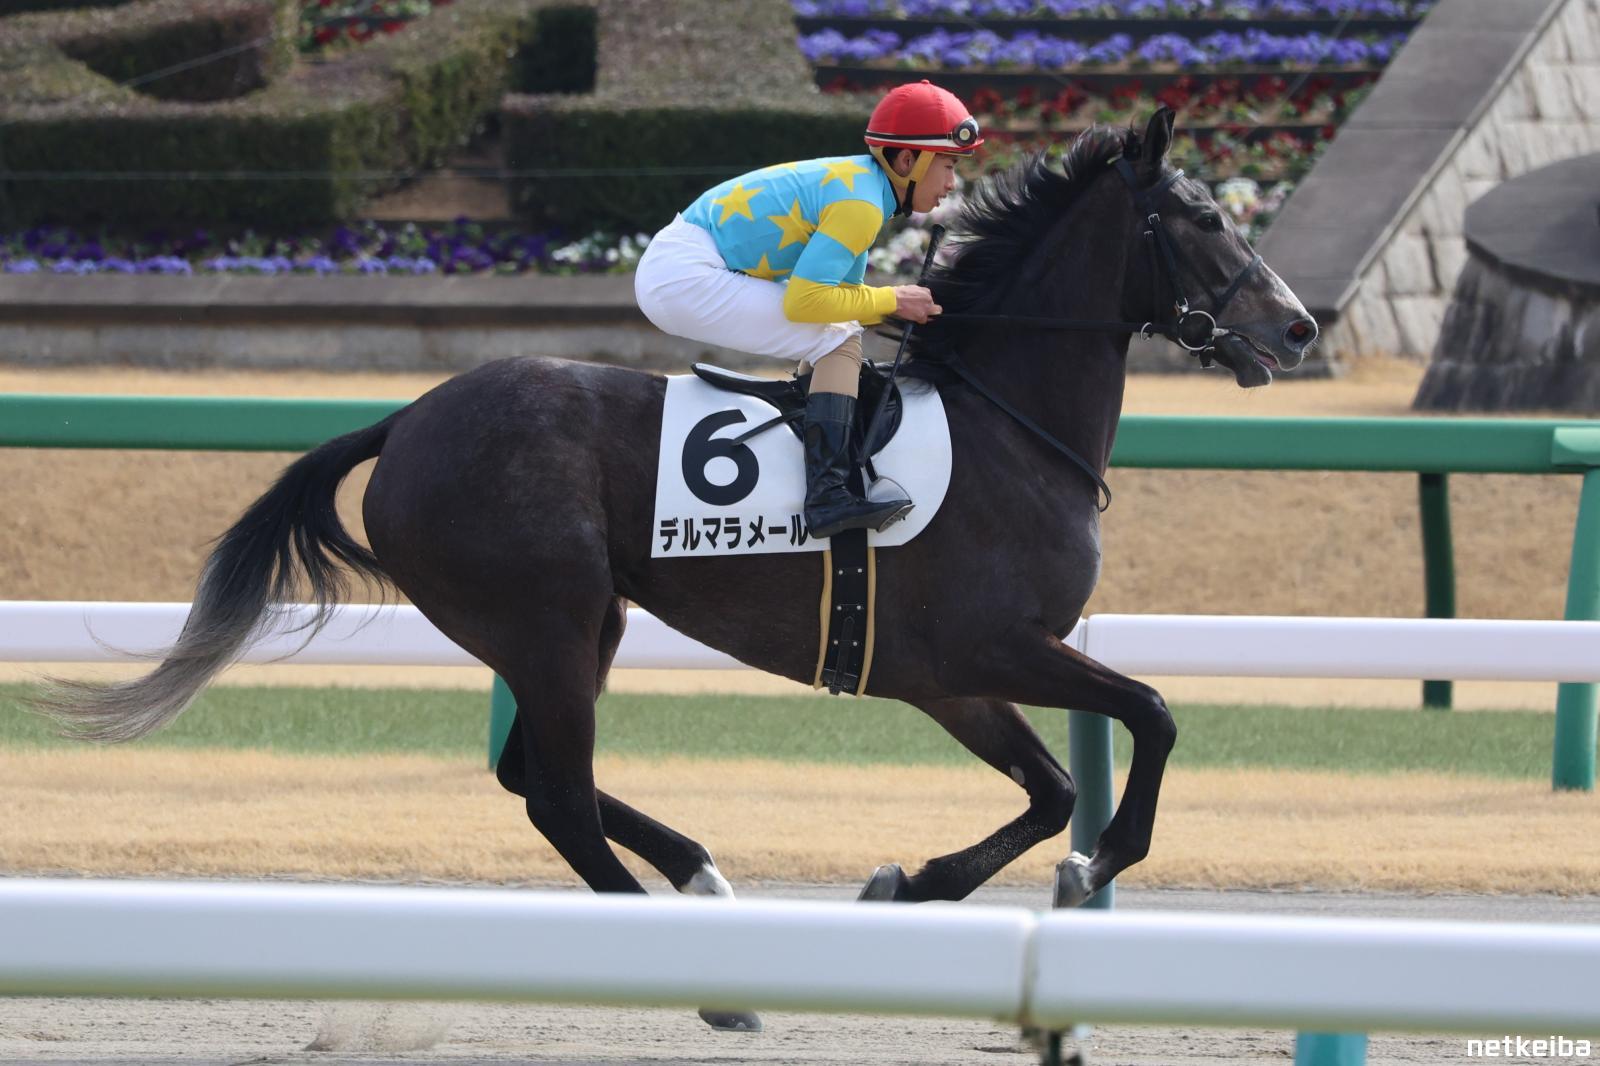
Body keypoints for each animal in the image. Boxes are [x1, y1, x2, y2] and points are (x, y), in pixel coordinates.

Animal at [40, 110, 1315, 1023]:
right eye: (1204, 216)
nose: (1299, 327)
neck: (1006, 421)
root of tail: (404, 423)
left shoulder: (946, 673)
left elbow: (1052, 787)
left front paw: (911, 885)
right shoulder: (984, 645)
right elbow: (1148, 716)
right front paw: (1089, 867)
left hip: (575, 625)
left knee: (528, 774)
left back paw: (699, 873)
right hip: (547, 621)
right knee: (553, 791)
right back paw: (709, 987)